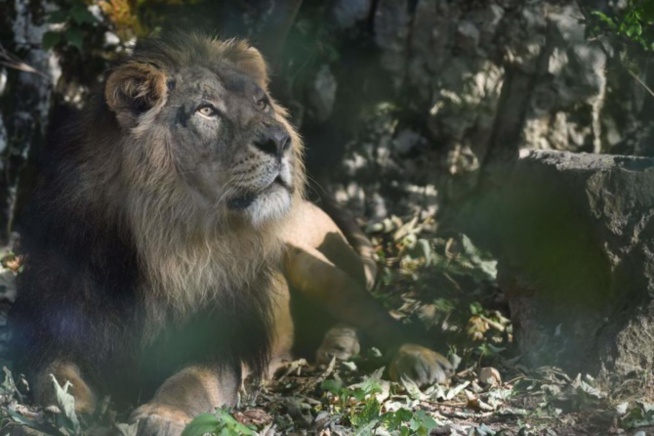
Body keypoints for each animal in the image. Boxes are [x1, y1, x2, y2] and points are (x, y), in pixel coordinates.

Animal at [10, 34, 451, 435]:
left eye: (262, 104)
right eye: (207, 110)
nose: (280, 140)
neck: (159, 248)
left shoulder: (219, 341)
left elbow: (191, 381)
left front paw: (161, 416)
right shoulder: (55, 330)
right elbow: (54, 376)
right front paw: (79, 412)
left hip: (314, 266)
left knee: (380, 316)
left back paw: (420, 357)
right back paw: (338, 346)